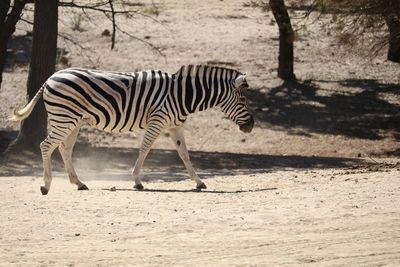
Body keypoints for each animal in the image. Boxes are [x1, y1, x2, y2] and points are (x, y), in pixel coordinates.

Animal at [11, 65, 253, 195]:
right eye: (243, 99)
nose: (251, 126)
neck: (182, 95)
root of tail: (52, 76)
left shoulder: (176, 126)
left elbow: (184, 154)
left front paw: (199, 182)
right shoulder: (157, 121)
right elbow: (144, 149)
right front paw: (137, 181)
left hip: (73, 121)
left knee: (64, 149)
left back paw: (79, 183)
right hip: (64, 118)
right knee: (46, 145)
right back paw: (46, 185)